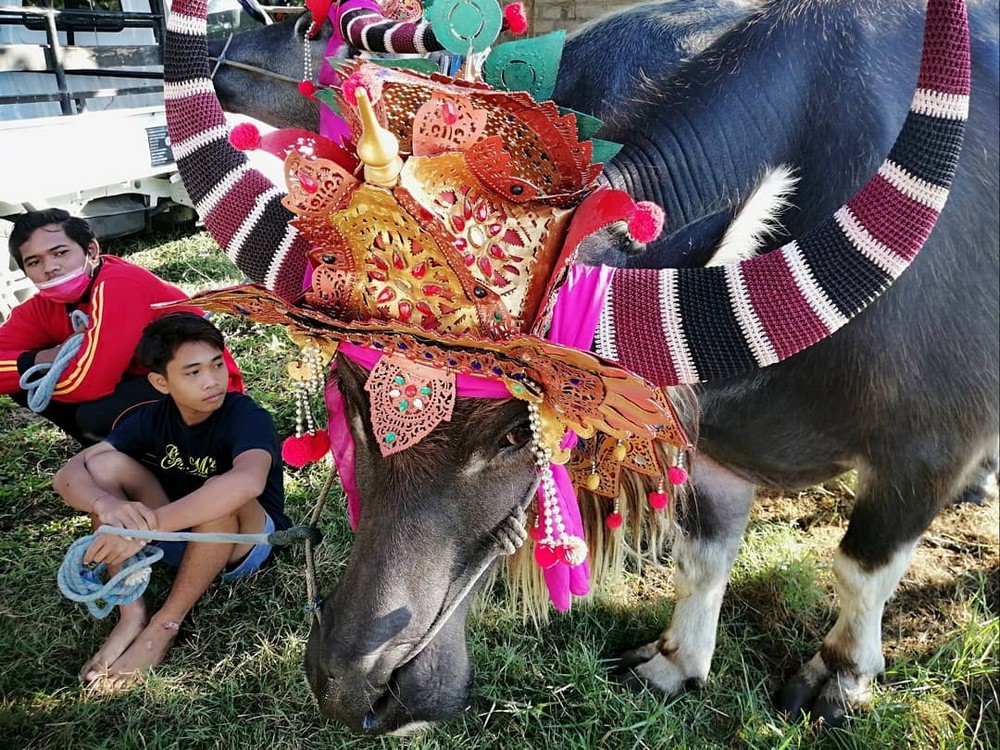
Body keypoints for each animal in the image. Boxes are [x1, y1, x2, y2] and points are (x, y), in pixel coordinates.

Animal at [162, 0, 992, 736]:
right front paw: (676, 662)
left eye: (513, 436)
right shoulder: (714, 449)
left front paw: (839, 677)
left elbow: (859, 570)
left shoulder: (924, 455)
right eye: (350, 398)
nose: (351, 686)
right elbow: (702, 556)